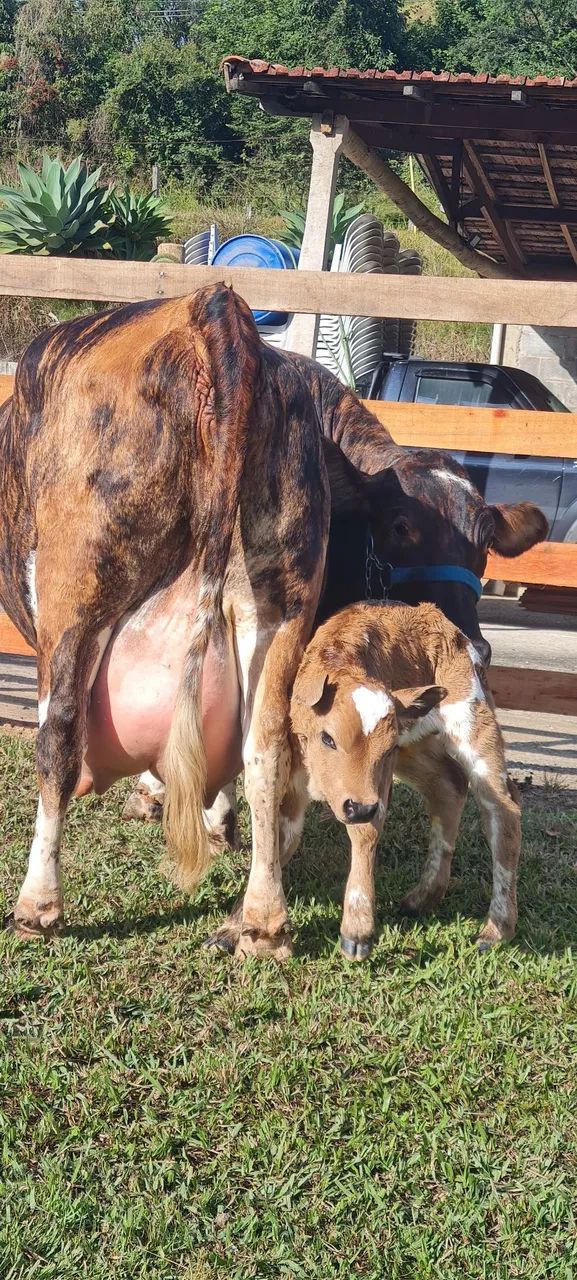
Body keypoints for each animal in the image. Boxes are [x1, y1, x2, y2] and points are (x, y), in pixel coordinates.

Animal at [0, 285, 330, 958]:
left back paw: (37, 905)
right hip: (280, 602)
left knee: (59, 737)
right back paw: (261, 920)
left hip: (77, 585)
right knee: (266, 746)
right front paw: (210, 819)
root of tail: (208, 306)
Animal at [290, 600, 521, 959]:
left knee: (502, 810)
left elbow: (367, 832)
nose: (359, 807)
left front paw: (357, 933)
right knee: (449, 786)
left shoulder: (378, 781)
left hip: (472, 720)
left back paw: (496, 930)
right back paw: (422, 898)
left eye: (386, 749)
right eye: (327, 738)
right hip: (416, 746)